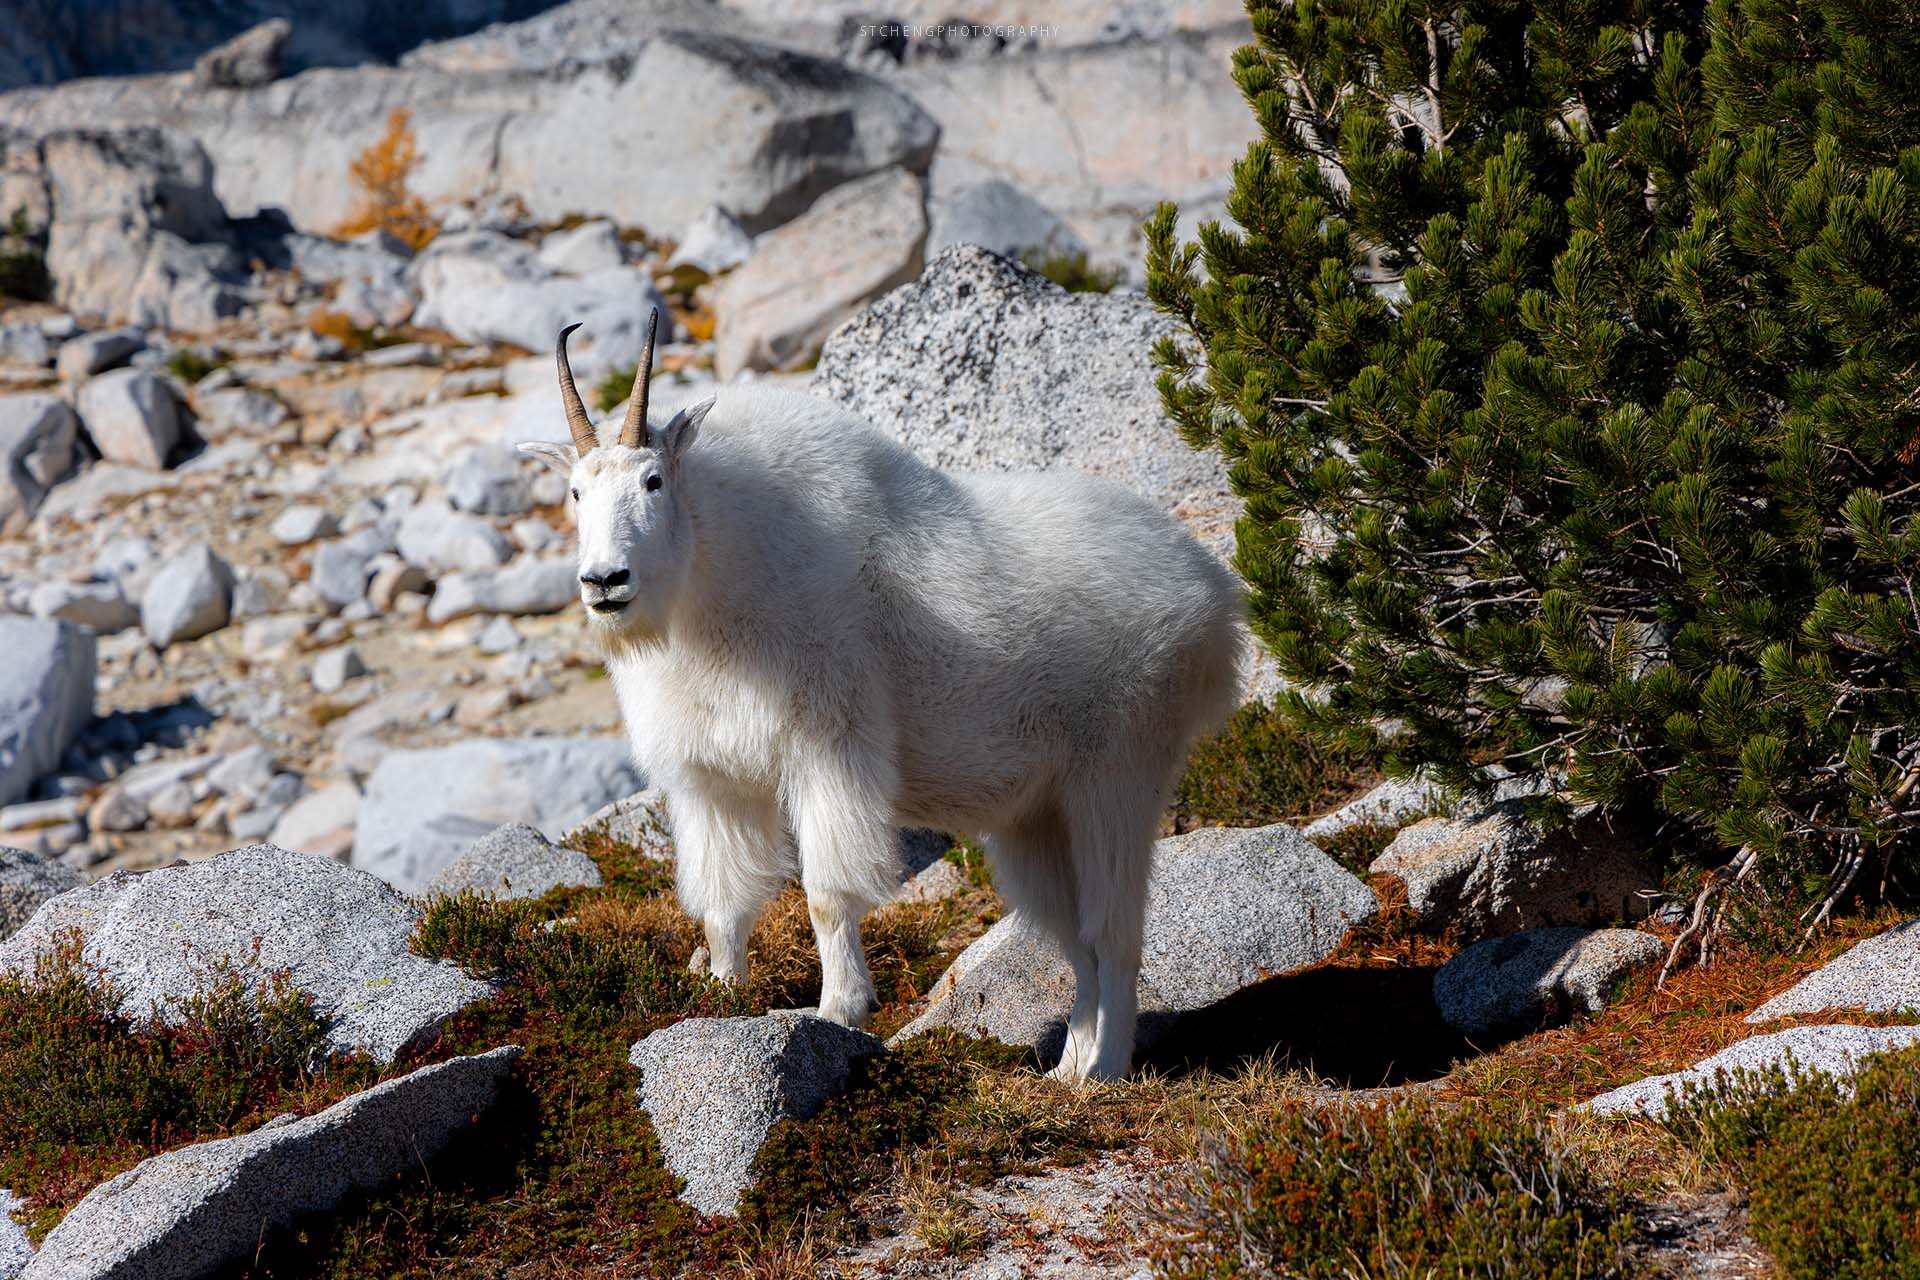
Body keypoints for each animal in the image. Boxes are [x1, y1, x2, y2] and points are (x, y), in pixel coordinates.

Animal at [520, 312, 1242, 1080]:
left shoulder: (827, 750)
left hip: (1119, 771)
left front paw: (837, 1010)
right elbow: (721, 903)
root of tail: (1214, 594)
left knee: (1114, 934)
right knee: (1073, 939)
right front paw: (720, 996)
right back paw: (1067, 1068)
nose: (604, 581)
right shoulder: (713, 781)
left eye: (654, 480)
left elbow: (827, 895)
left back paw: (1102, 1073)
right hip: (1036, 814)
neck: (713, 575)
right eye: (574, 492)